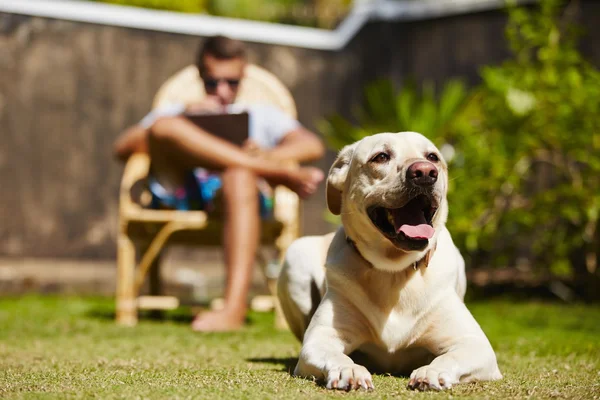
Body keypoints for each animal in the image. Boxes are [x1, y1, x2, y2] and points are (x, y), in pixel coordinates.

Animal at [278, 131, 502, 390]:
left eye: (432, 157)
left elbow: (452, 356)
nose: (425, 172)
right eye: (381, 157)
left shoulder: (475, 344)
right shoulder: (320, 339)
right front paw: (349, 369)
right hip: (295, 258)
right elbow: (332, 353)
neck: (395, 271)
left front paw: (432, 371)